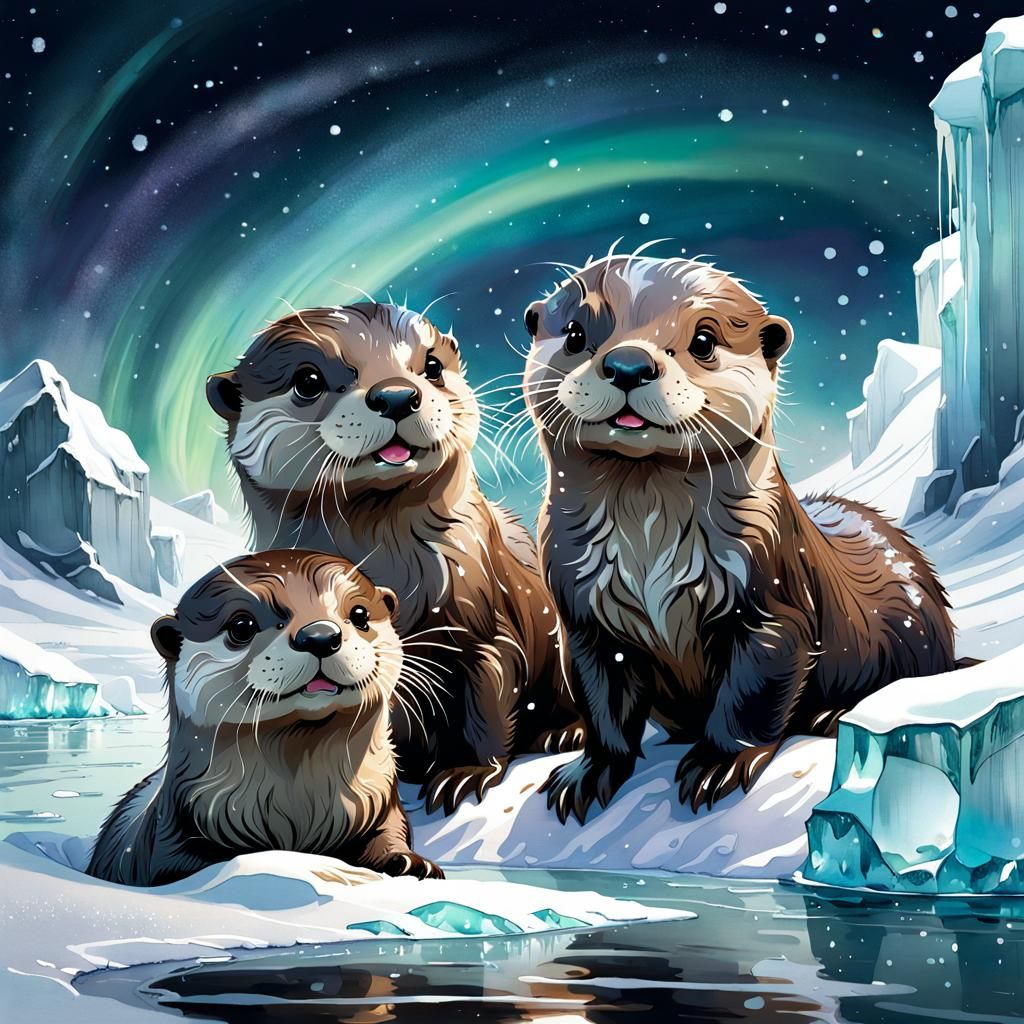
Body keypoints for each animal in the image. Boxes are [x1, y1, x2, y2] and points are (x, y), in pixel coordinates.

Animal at [87, 550, 443, 886]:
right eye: (241, 626)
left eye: (359, 614)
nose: (320, 635)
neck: (299, 811)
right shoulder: (172, 835)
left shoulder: (383, 806)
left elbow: (391, 834)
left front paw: (410, 862)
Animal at [206, 303, 582, 815]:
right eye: (308, 380)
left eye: (432, 366)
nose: (398, 395)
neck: (393, 574)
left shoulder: (484, 620)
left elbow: (487, 696)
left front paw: (465, 773)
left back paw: (564, 733)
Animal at [522, 252, 956, 823]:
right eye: (574, 333)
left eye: (704, 339)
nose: (629, 364)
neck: (647, 552)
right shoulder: (583, 618)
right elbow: (602, 701)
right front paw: (589, 772)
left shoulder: (773, 596)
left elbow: (752, 690)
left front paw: (717, 764)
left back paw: (834, 713)